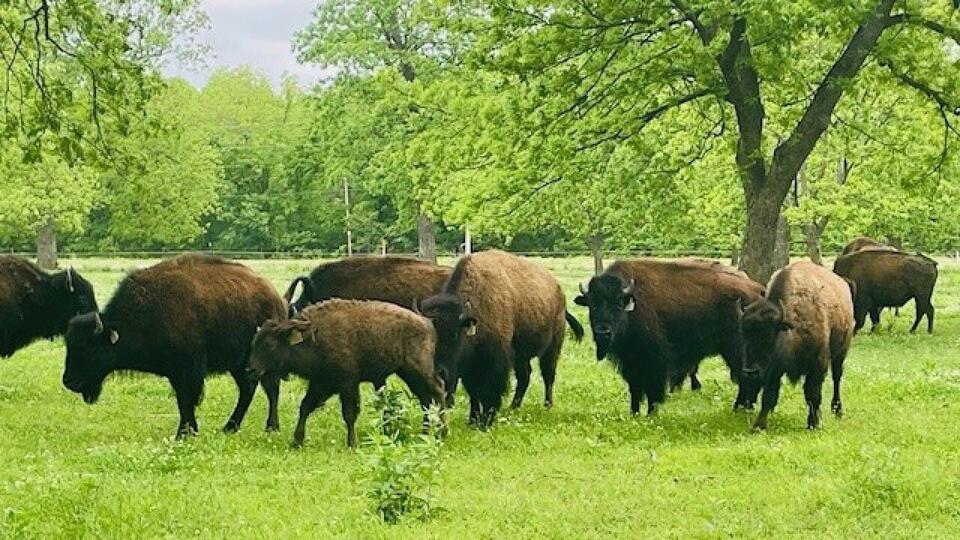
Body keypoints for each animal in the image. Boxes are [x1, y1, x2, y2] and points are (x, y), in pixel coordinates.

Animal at [61, 254, 286, 437]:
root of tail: (276, 298)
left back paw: (271, 427)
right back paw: (229, 427)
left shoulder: (188, 369)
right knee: (248, 388)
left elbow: (186, 399)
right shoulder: (175, 372)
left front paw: (184, 433)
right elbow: (182, 400)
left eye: (88, 348)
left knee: (271, 388)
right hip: (238, 365)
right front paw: (189, 431)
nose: (68, 381)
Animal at [420, 250, 584, 428]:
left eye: (454, 335)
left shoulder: (495, 360)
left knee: (548, 375)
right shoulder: (470, 365)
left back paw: (547, 406)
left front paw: (486, 421)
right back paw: (513, 407)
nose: (439, 372)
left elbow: (490, 390)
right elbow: (473, 392)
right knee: (525, 376)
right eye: (430, 338)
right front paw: (472, 420)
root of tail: (559, 290)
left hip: (552, 347)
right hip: (521, 356)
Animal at [574, 259, 764, 415]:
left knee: (746, 378)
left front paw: (651, 413)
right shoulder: (630, 362)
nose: (603, 332)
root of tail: (757, 290)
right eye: (593, 304)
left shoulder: (654, 360)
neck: (633, 304)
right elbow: (634, 388)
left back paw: (739, 408)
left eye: (618, 303)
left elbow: (652, 389)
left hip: (737, 351)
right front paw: (634, 413)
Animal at [739, 262, 855, 430]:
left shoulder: (818, 364)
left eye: (769, 336)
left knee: (837, 378)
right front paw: (758, 426)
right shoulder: (774, 370)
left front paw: (814, 424)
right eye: (744, 336)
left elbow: (813, 394)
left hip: (841, 353)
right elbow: (769, 395)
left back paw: (837, 410)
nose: (750, 372)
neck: (791, 327)